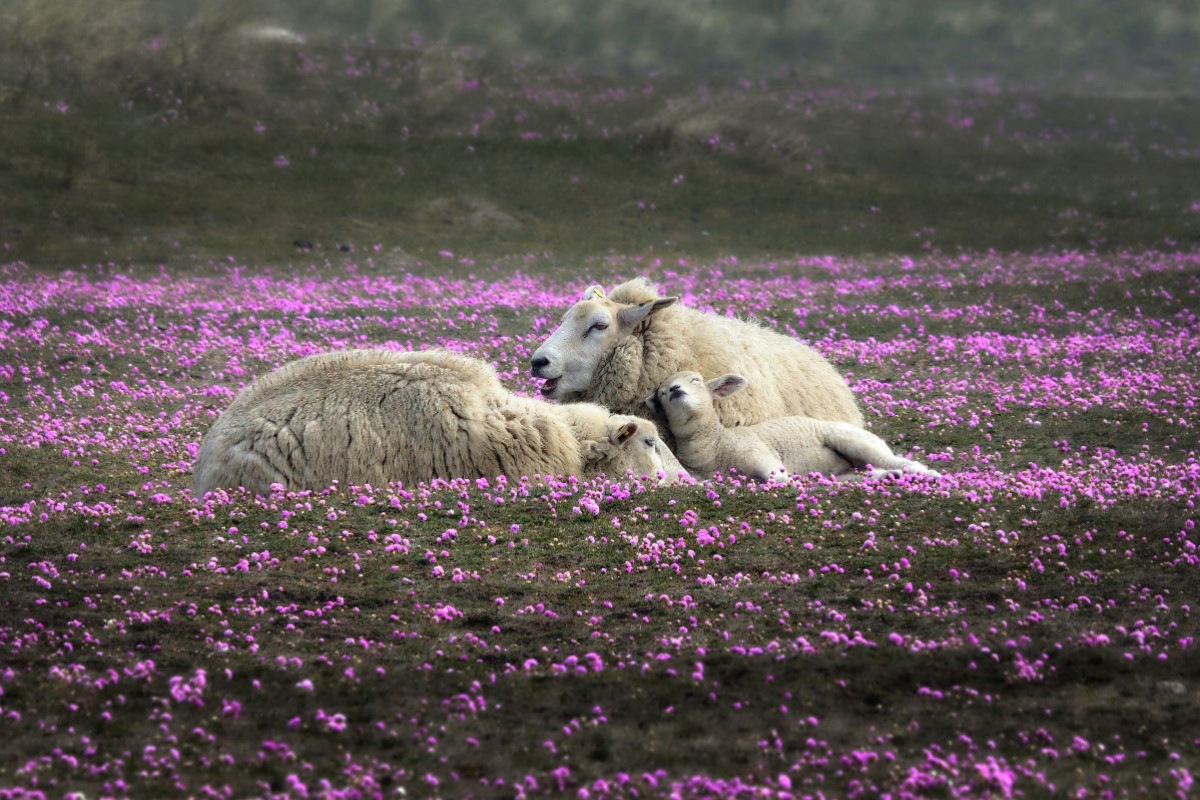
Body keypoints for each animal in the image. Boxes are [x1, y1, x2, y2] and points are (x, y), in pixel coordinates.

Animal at [648, 369, 936, 482]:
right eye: (661, 393)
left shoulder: (758, 452)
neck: (714, 441)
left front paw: (791, 483)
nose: (674, 389)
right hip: (841, 470)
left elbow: (778, 478)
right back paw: (890, 476)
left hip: (854, 440)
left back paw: (924, 472)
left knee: (892, 458)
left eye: (695, 379)